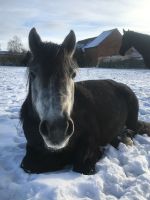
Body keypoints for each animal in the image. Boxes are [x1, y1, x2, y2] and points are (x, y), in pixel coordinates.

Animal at [19, 28, 149, 175]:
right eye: (33, 73)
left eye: (73, 74)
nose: (57, 129)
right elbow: (29, 165)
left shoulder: (90, 141)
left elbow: (82, 165)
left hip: (132, 121)